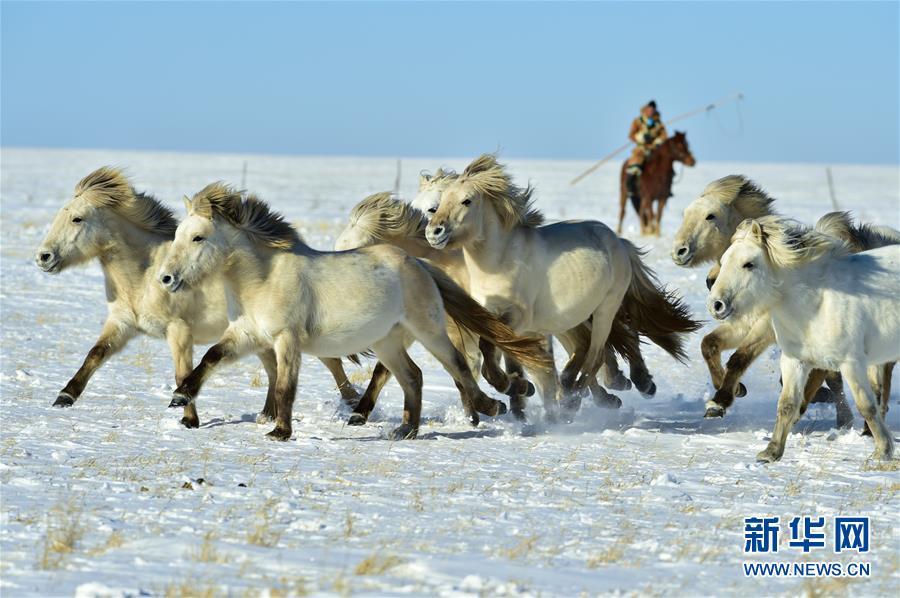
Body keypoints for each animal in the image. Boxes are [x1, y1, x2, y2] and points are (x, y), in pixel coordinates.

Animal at [34, 167, 359, 428]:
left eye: (77, 219)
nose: (43, 257)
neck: (145, 275)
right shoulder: (122, 325)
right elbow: (95, 354)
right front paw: (64, 396)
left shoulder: (179, 331)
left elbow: (182, 374)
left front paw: (188, 418)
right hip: (259, 338)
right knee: (274, 369)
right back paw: (267, 415)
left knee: (333, 365)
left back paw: (354, 407)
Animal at [158, 183, 553, 440]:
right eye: (177, 235)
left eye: (198, 237)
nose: (166, 278)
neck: (262, 279)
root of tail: (418, 263)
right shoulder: (247, 335)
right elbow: (210, 357)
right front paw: (180, 397)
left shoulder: (287, 340)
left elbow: (285, 386)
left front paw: (280, 431)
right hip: (387, 341)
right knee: (412, 376)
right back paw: (405, 429)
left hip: (428, 330)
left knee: (456, 366)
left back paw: (491, 407)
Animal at [425, 154, 701, 420]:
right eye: (438, 204)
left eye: (467, 201)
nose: (434, 232)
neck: (499, 261)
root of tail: (618, 241)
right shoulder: (490, 314)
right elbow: (498, 351)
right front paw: (515, 388)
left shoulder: (518, 317)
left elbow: (493, 348)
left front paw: (512, 387)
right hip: (573, 315)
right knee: (587, 348)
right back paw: (575, 387)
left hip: (605, 310)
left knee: (595, 354)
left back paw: (575, 400)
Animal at [709, 216, 899, 462]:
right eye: (723, 261)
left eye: (749, 264)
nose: (716, 304)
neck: (817, 303)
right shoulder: (794, 361)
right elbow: (787, 404)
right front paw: (771, 452)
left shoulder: (851, 362)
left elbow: (866, 406)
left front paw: (883, 450)